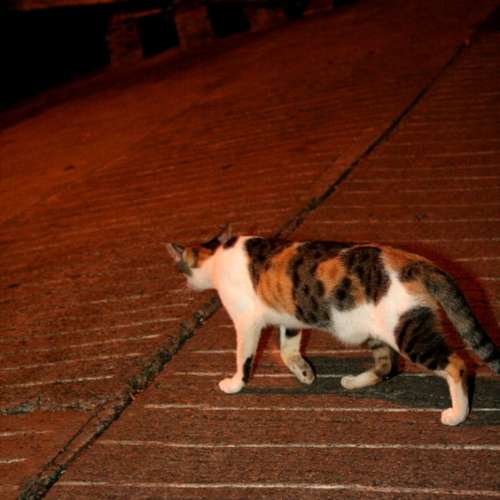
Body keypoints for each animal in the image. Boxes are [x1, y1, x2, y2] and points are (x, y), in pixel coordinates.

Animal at [167, 226, 500, 426]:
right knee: (388, 365)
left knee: (456, 364)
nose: (185, 283)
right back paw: (353, 382)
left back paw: (457, 414)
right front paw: (304, 373)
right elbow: (288, 350)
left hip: (407, 331)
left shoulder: (246, 322)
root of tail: (414, 262)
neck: (216, 256)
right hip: (372, 331)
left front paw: (235, 384)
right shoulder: (291, 318)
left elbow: (244, 357)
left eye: (181, 268)